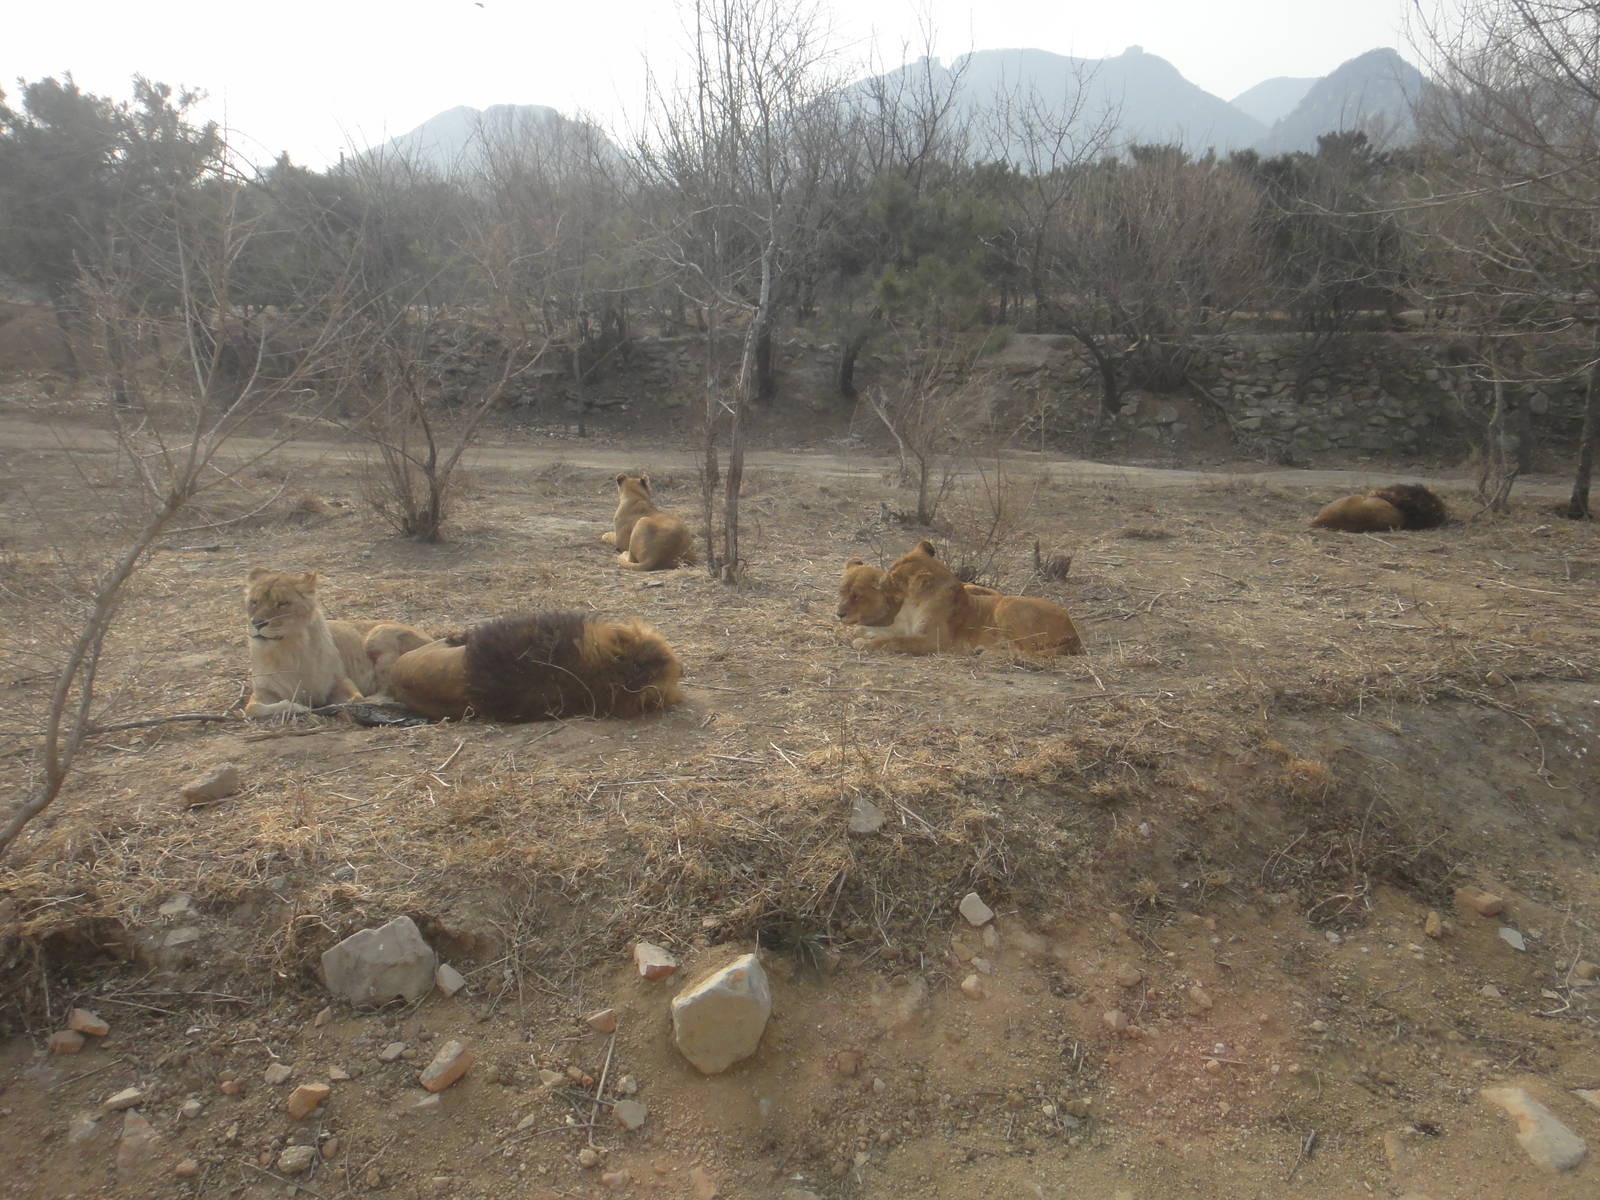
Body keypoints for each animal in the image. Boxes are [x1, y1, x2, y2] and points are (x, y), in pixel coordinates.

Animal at [842, 543, 1084, 656]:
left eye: (893, 577)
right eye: (891, 567)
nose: (880, 580)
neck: (913, 602)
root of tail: (1074, 630)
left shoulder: (933, 641)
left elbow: (893, 641)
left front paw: (863, 643)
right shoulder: (903, 626)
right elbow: (881, 631)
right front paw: (858, 632)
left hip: (1007, 605)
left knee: (1027, 651)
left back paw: (988, 652)